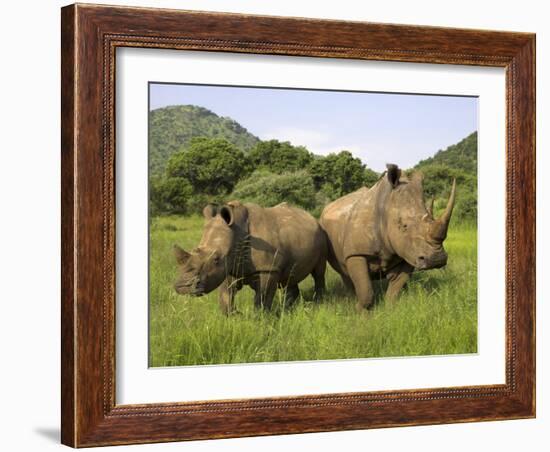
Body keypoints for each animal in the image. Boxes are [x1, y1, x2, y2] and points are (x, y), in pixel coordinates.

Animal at [175, 201, 328, 314]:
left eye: (216, 259)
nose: (183, 287)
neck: (236, 232)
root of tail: (312, 217)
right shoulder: (230, 265)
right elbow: (226, 295)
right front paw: (233, 316)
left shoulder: (267, 268)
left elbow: (262, 298)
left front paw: (260, 318)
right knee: (290, 276)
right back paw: (288, 307)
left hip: (321, 234)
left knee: (319, 272)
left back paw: (319, 302)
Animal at [320, 164, 458, 312]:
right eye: (404, 226)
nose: (436, 259)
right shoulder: (356, 253)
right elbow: (365, 290)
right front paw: (360, 311)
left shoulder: (408, 252)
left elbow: (395, 289)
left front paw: (390, 311)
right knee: (344, 272)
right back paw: (351, 299)